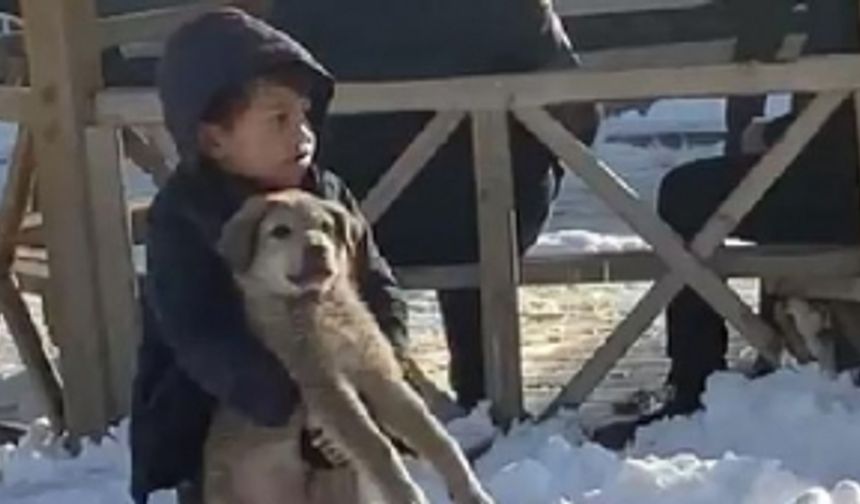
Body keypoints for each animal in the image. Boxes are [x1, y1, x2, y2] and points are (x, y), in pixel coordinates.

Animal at [204, 190, 494, 504]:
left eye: (326, 226)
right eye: (280, 231)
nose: (318, 248)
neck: (321, 306)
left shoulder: (379, 375)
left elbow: (435, 436)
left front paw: (472, 493)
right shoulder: (327, 388)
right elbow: (377, 446)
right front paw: (409, 497)